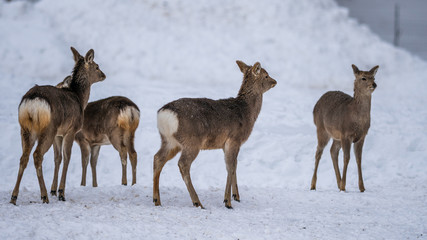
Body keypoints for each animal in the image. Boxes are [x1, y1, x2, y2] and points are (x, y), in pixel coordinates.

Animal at [10, 47, 105, 204]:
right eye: (97, 66)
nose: (103, 75)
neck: (80, 98)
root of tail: (33, 103)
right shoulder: (71, 130)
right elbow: (67, 157)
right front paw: (61, 193)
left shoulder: (58, 134)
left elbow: (57, 158)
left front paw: (53, 190)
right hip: (48, 128)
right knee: (37, 155)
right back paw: (44, 196)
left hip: (25, 128)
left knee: (24, 157)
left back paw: (14, 197)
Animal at [153, 60, 278, 208]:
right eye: (266, 75)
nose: (275, 81)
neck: (246, 113)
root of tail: (164, 115)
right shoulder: (234, 139)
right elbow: (231, 166)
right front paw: (227, 201)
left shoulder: (225, 144)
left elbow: (233, 166)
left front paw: (236, 196)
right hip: (191, 142)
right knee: (183, 164)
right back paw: (197, 202)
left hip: (169, 141)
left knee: (158, 158)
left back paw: (157, 200)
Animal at [310, 63, 380, 191]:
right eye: (363, 78)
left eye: (373, 77)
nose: (374, 84)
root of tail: (315, 106)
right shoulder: (346, 134)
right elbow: (347, 158)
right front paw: (344, 186)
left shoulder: (362, 136)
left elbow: (359, 159)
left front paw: (362, 188)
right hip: (322, 129)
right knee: (318, 152)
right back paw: (313, 185)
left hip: (336, 136)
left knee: (332, 151)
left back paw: (338, 183)